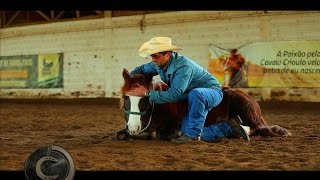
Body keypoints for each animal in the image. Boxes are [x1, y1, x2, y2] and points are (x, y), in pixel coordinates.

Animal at [117, 68, 290, 141]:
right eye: (126, 97)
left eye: (145, 99)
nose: (133, 127)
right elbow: (120, 134)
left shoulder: (175, 126)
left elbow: (161, 134)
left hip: (247, 114)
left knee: (256, 128)